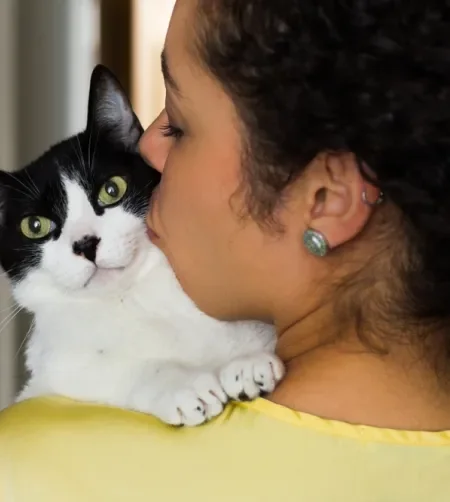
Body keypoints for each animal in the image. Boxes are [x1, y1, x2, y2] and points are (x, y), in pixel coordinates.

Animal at [0, 64, 284, 426]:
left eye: (112, 189)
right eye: (35, 226)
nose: (86, 244)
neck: (136, 299)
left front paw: (248, 361)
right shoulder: (56, 371)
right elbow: (113, 370)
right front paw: (182, 384)